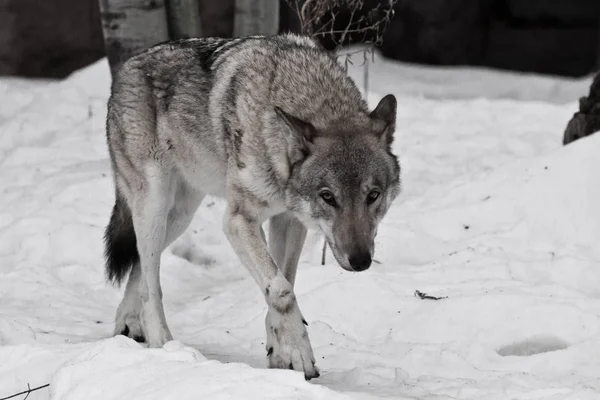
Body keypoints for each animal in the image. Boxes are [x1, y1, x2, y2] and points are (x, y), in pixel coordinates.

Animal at [103, 32, 404, 380]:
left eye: (373, 195)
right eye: (328, 196)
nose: (361, 261)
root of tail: (126, 68)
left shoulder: (289, 220)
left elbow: (283, 281)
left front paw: (280, 354)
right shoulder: (238, 220)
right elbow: (282, 290)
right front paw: (299, 353)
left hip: (178, 217)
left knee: (139, 261)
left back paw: (126, 324)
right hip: (154, 205)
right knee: (151, 282)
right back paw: (163, 344)